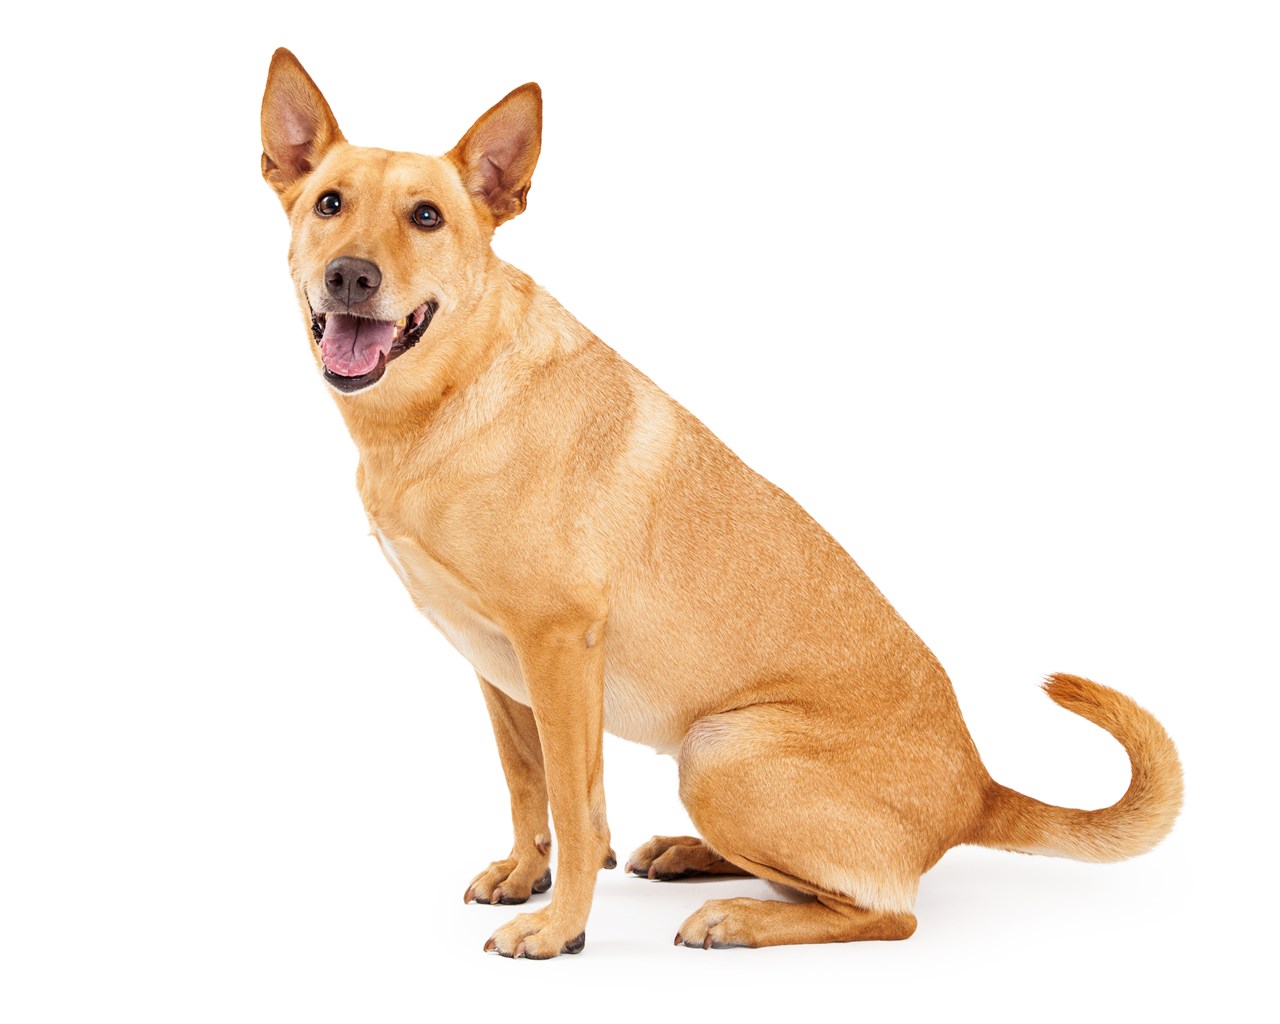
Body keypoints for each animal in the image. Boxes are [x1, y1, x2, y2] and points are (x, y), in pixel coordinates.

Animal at [257, 48, 1177, 962]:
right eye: (330, 204)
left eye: (426, 217)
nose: (350, 275)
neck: (445, 398)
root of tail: (979, 790)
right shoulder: (498, 666)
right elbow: (529, 786)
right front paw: (527, 874)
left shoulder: (559, 646)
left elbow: (576, 807)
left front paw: (561, 928)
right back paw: (691, 854)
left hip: (720, 749)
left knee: (885, 911)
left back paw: (737, 917)